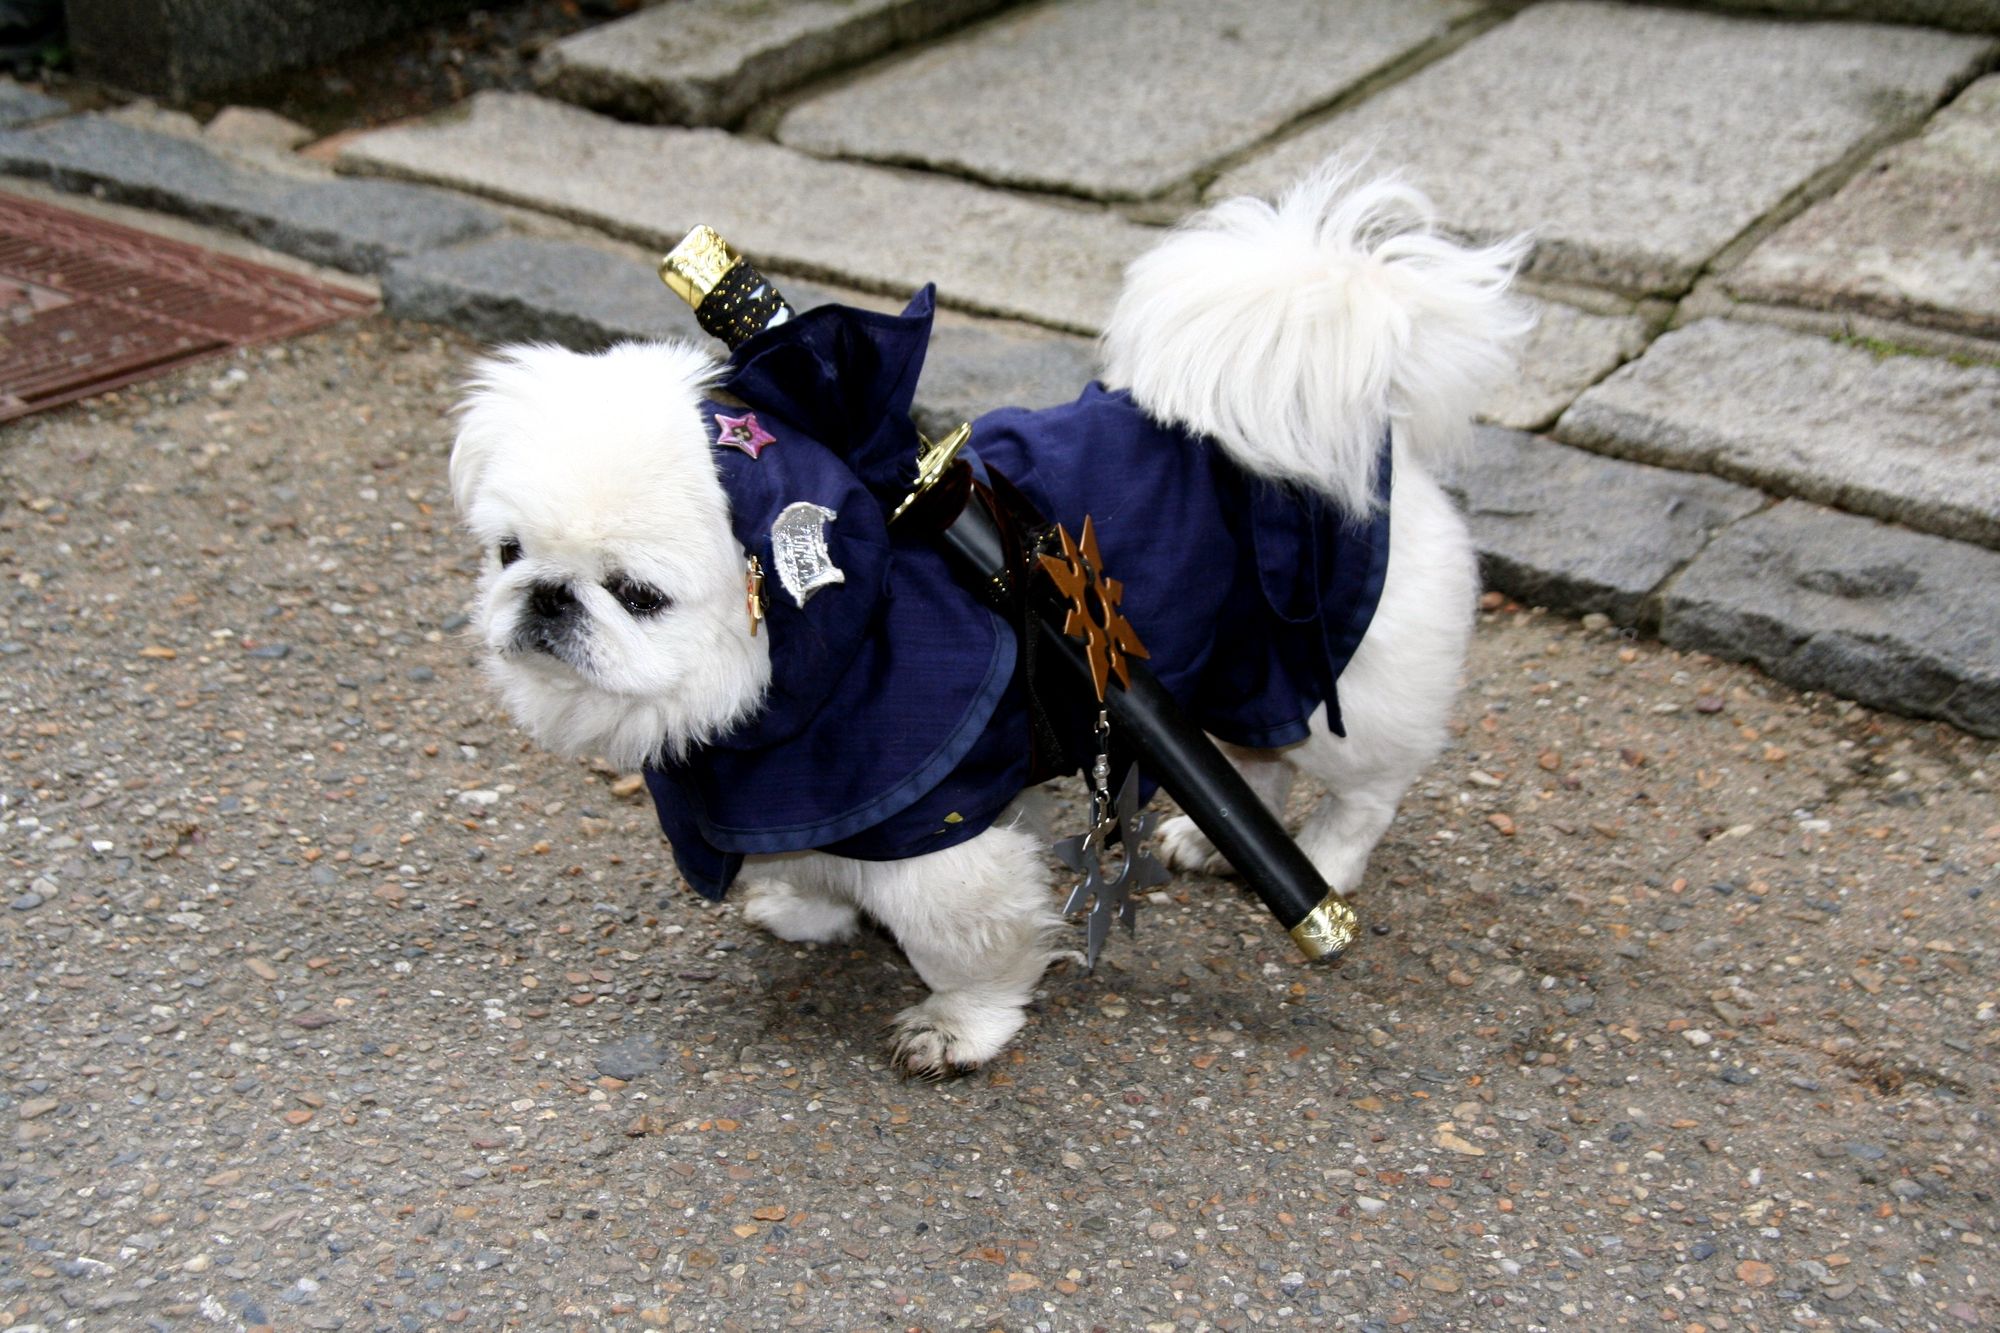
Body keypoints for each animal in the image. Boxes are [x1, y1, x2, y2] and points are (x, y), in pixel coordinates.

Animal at [449, 164, 1530, 1075]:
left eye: (638, 595)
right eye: (508, 553)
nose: (546, 596)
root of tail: (1365, 425)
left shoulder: (934, 835)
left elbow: (972, 943)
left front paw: (959, 1027)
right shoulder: (795, 795)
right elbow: (808, 865)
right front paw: (802, 908)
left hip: (1334, 684)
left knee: (1363, 786)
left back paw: (1326, 877)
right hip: (1234, 668)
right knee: (1251, 760)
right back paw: (1203, 836)